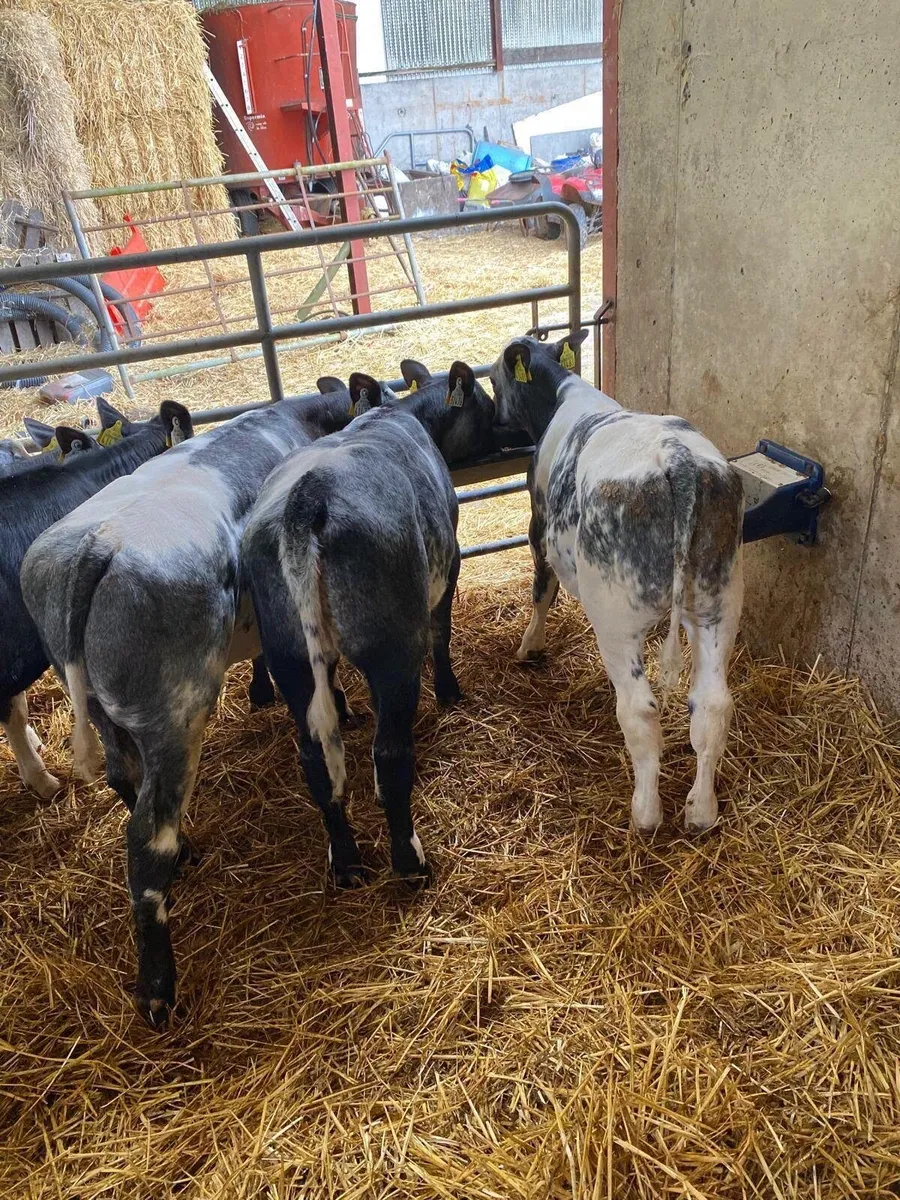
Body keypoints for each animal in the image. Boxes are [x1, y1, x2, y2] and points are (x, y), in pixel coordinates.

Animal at [21, 390, 353, 1027]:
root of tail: (96, 547)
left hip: (105, 709)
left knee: (124, 781)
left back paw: (186, 853)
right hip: (173, 719)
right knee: (146, 839)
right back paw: (157, 989)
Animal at [242, 368, 469, 897]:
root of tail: (307, 500)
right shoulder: (449, 565)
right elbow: (442, 632)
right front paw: (449, 691)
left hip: (289, 655)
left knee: (315, 760)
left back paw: (345, 860)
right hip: (392, 649)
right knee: (389, 754)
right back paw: (409, 859)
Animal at [490, 332, 744, 836]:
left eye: (492, 379)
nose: (493, 418)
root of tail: (678, 460)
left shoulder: (538, 524)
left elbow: (542, 590)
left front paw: (530, 645)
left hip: (615, 616)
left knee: (640, 710)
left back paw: (645, 813)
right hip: (719, 600)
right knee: (713, 706)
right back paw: (700, 811)